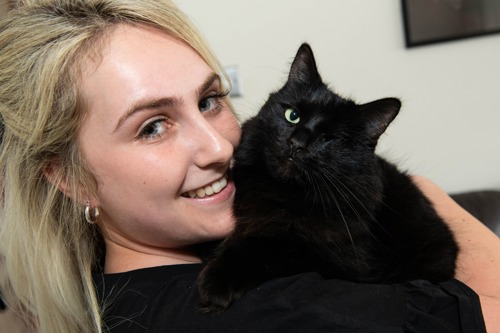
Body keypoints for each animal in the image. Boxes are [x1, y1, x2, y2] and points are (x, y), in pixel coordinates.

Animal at [197, 42, 458, 312]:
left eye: (328, 138)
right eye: (292, 115)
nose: (296, 143)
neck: (282, 193)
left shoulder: (343, 261)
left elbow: (272, 245)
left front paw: (219, 279)